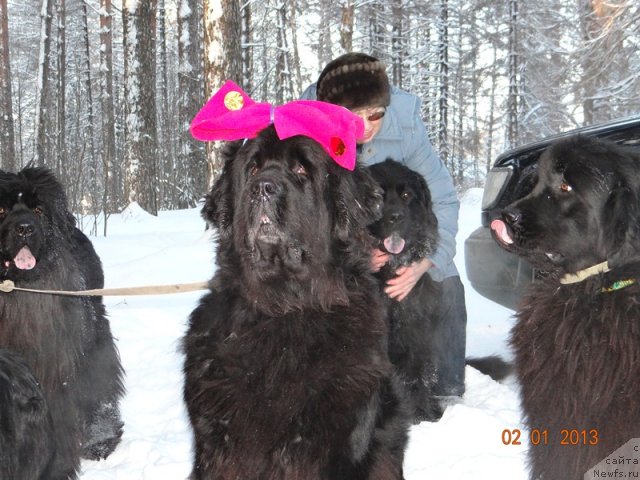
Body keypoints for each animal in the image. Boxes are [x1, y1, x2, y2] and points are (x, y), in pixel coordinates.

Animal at [368, 159, 442, 422]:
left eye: (407, 195)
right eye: (378, 195)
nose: (396, 217)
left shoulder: (414, 328)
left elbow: (417, 372)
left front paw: (424, 414)